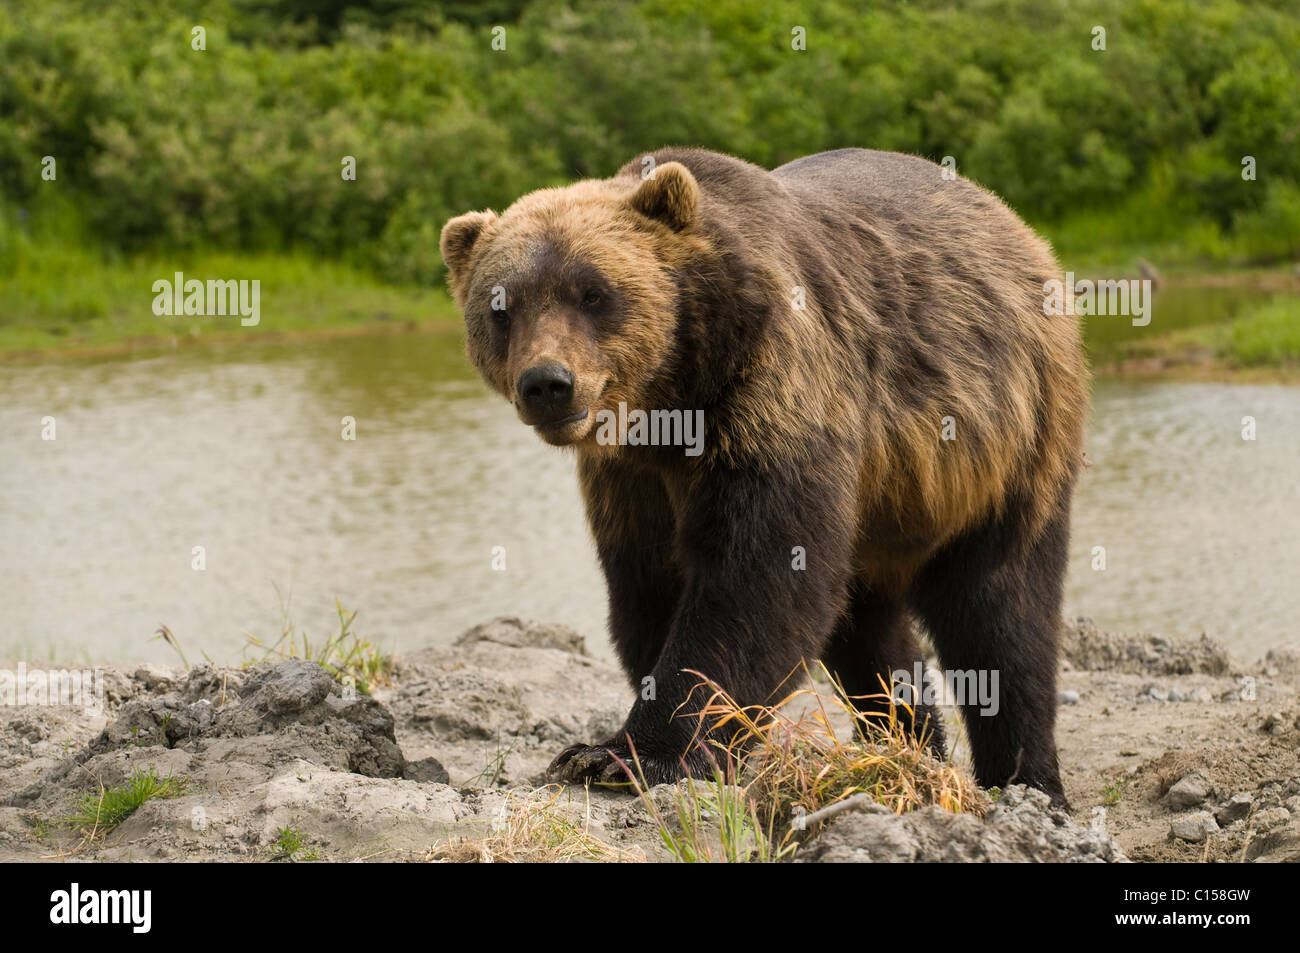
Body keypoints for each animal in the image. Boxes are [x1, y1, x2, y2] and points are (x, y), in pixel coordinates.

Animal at [441, 148, 1092, 800]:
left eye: (593, 293)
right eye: (501, 307)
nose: (547, 383)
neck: (672, 399)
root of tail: (1012, 222)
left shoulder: (775, 385)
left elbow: (759, 573)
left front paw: (626, 754)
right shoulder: (630, 477)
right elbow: (650, 585)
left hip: (1009, 437)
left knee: (1001, 611)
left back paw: (1027, 781)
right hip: (887, 501)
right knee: (867, 628)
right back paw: (906, 748)